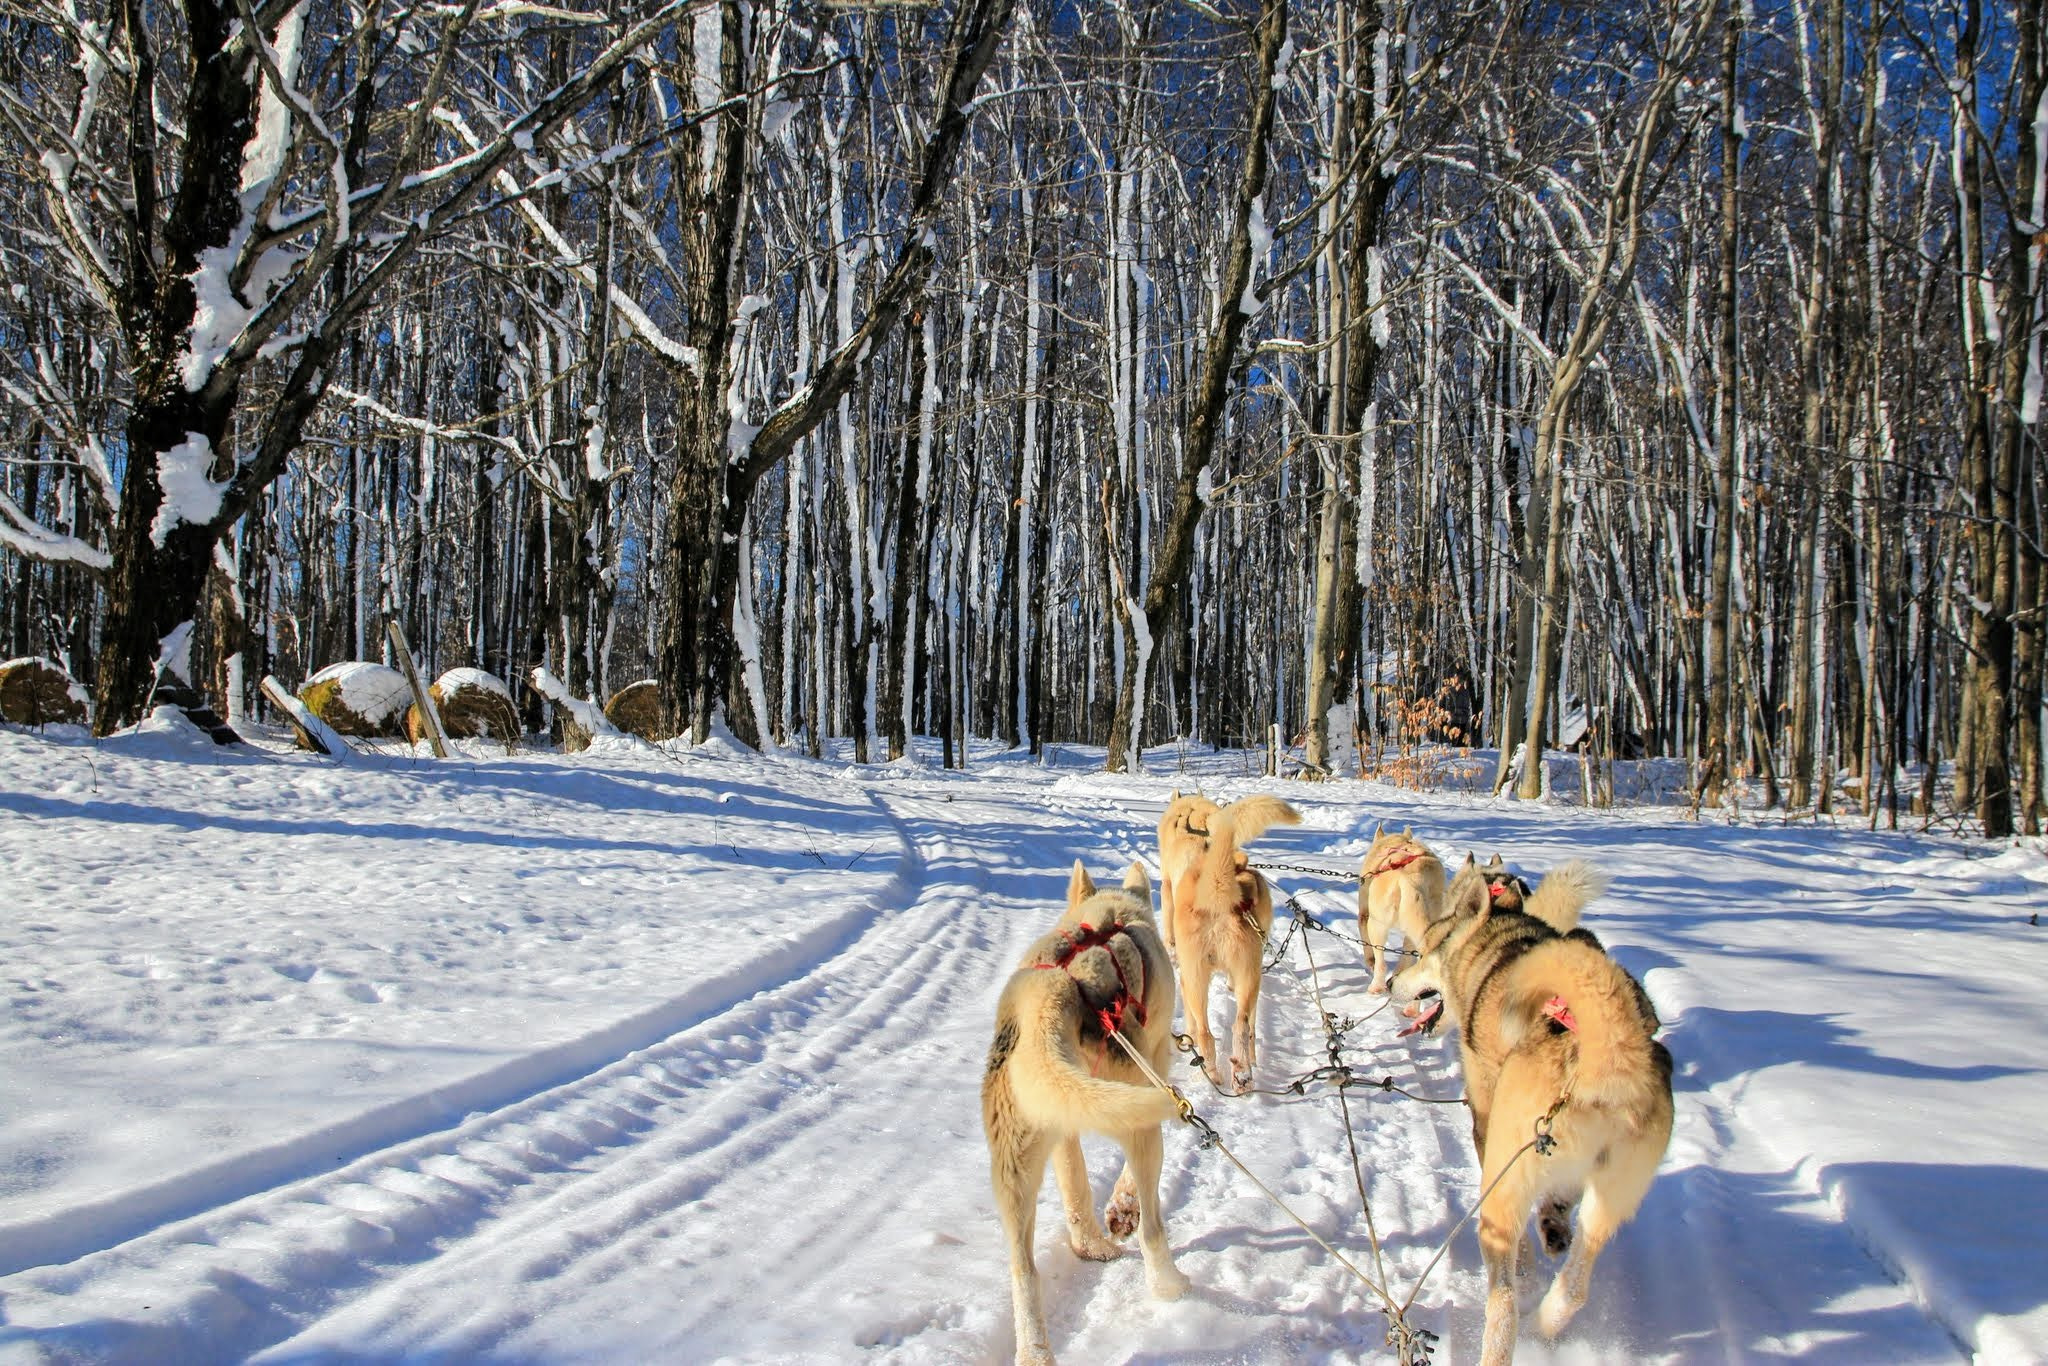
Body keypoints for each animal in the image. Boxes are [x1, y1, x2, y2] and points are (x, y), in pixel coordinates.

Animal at [983, 860, 1196, 1359]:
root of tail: (1052, 994)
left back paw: (1038, 1347)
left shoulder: (1064, 1129)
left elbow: (1076, 1189)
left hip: (1017, 1161)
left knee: (1024, 1269)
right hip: (1140, 1117)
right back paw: (1170, 1284)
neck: (1113, 911)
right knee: (1151, 1227)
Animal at [1163, 794, 1302, 1097]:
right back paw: (1242, 1074)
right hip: (1249, 975)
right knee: (1242, 1025)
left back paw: (1215, 1073)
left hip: (1198, 978)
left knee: (1207, 1031)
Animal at [1351, 823, 1449, 995]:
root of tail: (1413, 880)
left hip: (1377, 925)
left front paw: (1370, 962)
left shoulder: (1364, 914)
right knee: (1408, 957)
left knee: (1380, 960)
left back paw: (1376, 986)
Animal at [1392, 860, 1662, 1359]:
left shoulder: (1486, 1122)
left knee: (1503, 1303)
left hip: (1503, 1190)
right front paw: (1553, 1220)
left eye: (1422, 952)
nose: (1392, 984)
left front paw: (1527, 1261)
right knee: (1575, 1287)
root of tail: (1609, 1051)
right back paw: (1546, 1317)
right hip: (1608, 1202)